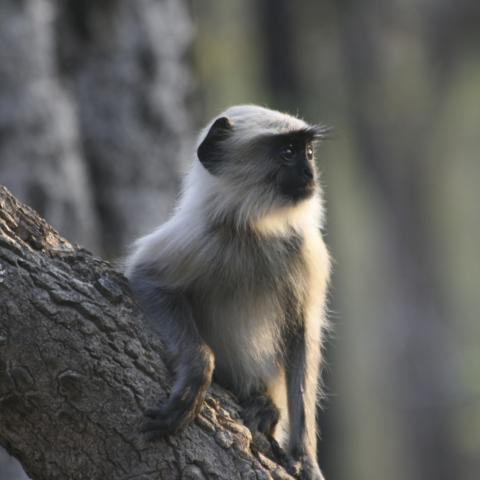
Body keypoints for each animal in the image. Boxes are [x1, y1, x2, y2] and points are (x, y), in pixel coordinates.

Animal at [125, 105, 332, 480]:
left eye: (308, 151)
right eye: (288, 152)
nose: (310, 173)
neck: (258, 227)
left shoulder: (305, 248)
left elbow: (301, 334)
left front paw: (305, 457)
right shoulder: (204, 233)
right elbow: (147, 278)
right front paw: (197, 370)